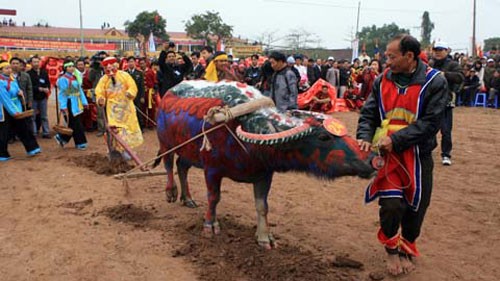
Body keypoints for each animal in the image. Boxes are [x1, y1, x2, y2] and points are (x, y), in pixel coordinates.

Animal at [154, 80, 376, 247]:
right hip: (166, 144)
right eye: (323, 137)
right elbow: (213, 198)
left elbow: (262, 206)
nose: (371, 158)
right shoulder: (212, 170)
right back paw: (171, 193)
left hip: (187, 151)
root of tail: (167, 95)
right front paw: (210, 225)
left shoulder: (264, 174)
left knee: (182, 167)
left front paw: (264, 237)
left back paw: (188, 199)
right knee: (169, 166)